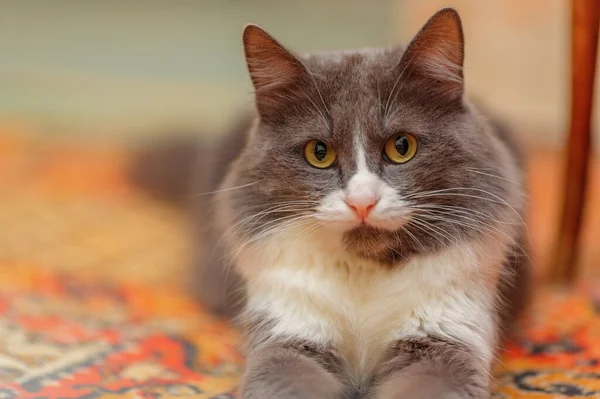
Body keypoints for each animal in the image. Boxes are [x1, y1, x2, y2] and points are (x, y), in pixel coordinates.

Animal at [130, 7, 528, 399]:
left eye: (402, 147)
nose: (362, 202)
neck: (363, 274)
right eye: (318, 153)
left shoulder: (446, 334)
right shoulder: (288, 332)